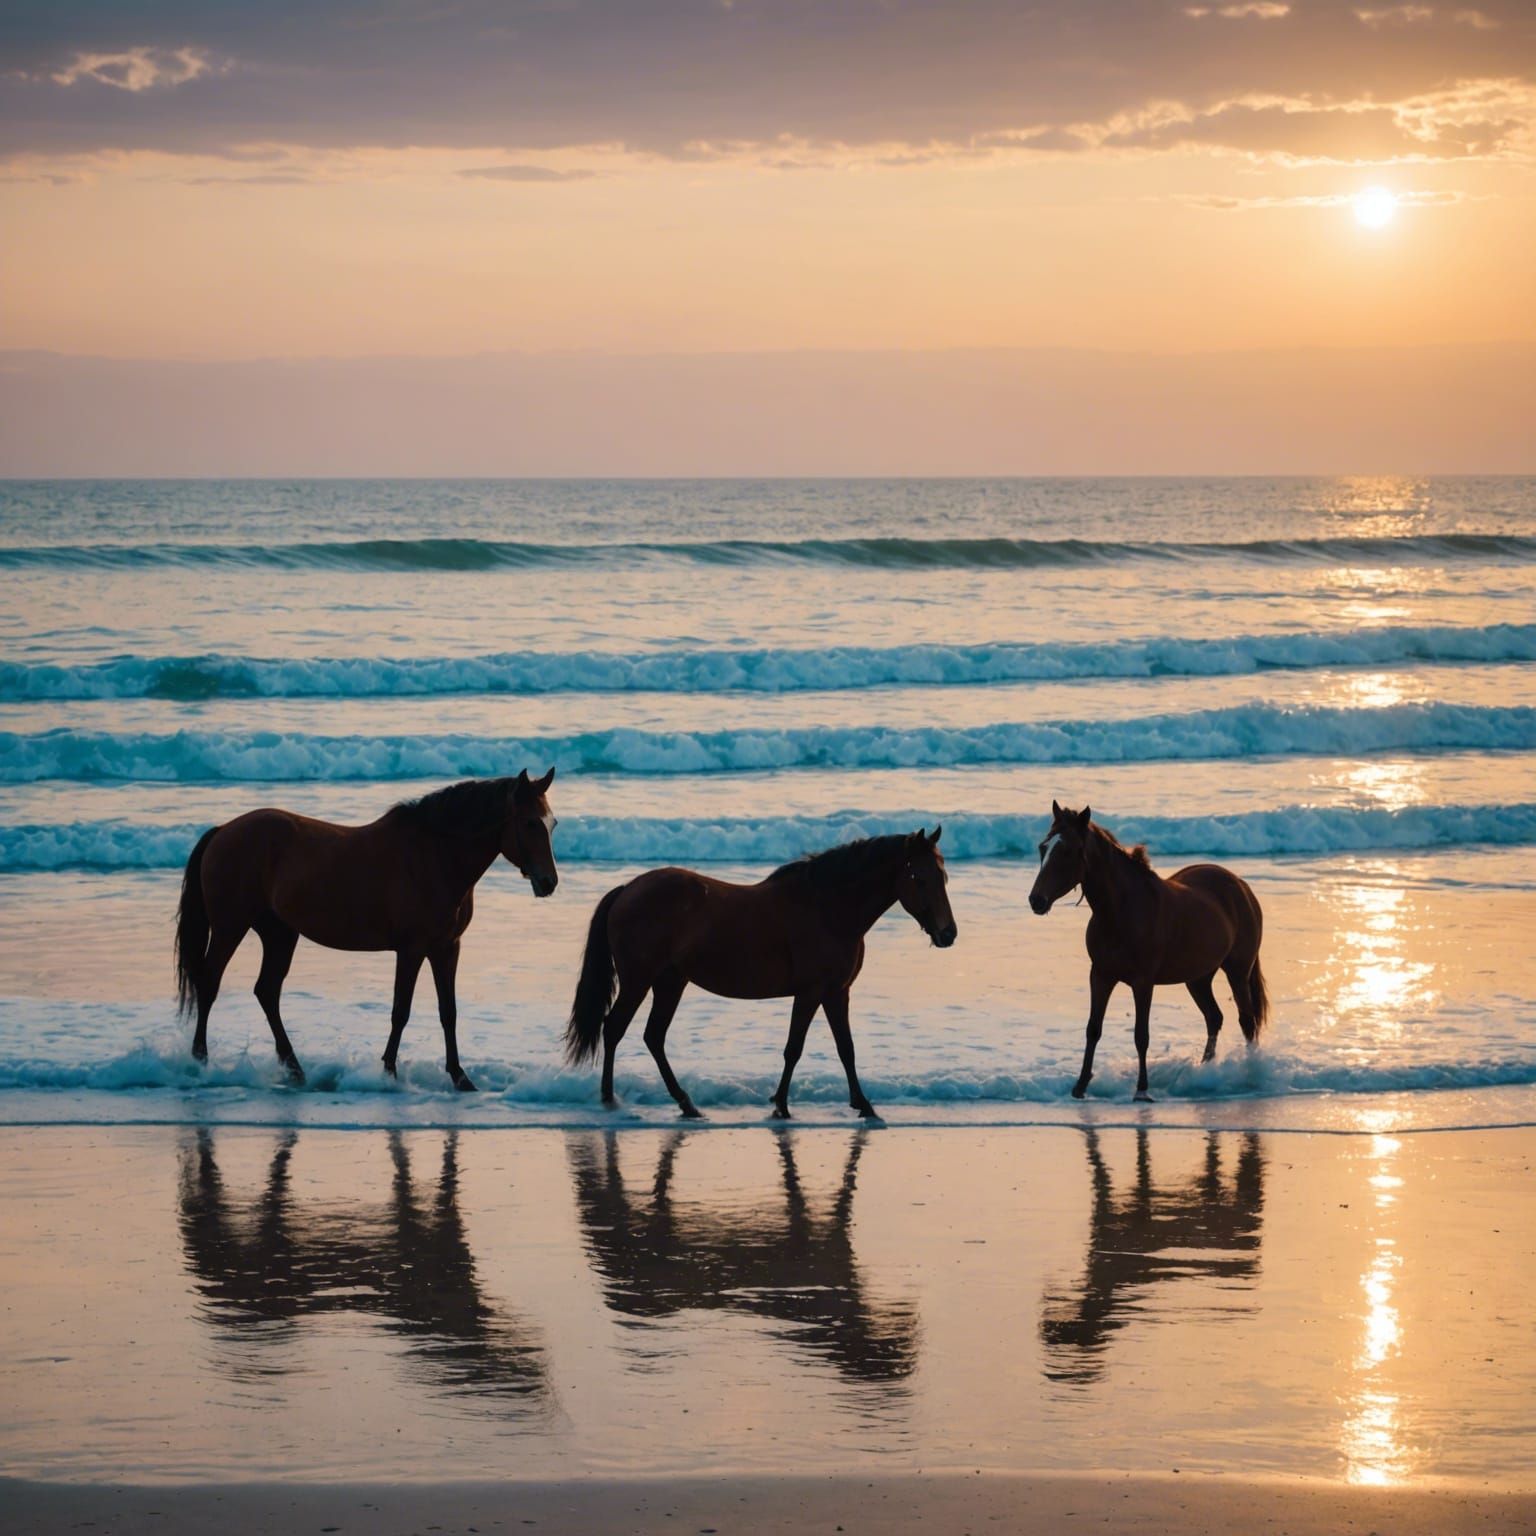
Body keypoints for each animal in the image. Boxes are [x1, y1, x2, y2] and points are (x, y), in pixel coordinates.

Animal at [174, 769, 558, 1091]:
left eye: (551, 824)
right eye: (529, 823)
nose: (548, 882)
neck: (434, 856)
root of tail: (223, 831)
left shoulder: (447, 947)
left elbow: (448, 1012)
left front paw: (460, 1077)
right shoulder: (412, 949)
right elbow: (400, 1011)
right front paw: (389, 1072)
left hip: (279, 933)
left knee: (267, 991)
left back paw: (295, 1069)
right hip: (230, 928)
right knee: (209, 984)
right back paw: (200, 1062)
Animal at [565, 828, 956, 1121]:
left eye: (943, 876)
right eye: (919, 878)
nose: (948, 933)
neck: (828, 907)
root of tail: (627, 890)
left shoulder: (836, 993)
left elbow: (846, 1049)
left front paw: (864, 1105)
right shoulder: (811, 993)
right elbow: (794, 1048)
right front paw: (781, 1105)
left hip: (670, 982)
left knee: (653, 1036)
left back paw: (686, 1103)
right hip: (639, 981)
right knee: (614, 1029)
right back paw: (611, 1099)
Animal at [1028, 802, 1267, 1101]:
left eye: (1068, 851)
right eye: (1043, 847)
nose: (1036, 900)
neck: (1121, 911)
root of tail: (1241, 886)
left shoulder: (1143, 982)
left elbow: (1141, 1035)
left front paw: (1142, 1090)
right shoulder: (1100, 976)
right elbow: (1093, 1029)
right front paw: (1080, 1086)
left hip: (1237, 971)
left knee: (1247, 1021)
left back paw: (1250, 1075)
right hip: (1198, 978)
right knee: (1214, 1018)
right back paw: (1205, 1072)